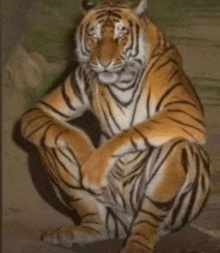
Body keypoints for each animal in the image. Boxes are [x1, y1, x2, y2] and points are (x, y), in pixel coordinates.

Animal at [20, 0, 211, 251]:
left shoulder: (185, 111)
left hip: (167, 195)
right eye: (94, 36)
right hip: (97, 202)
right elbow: (71, 132)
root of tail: (123, 226)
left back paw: (137, 244)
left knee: (153, 209)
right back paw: (81, 233)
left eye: (122, 36)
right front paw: (88, 160)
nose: (104, 63)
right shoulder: (43, 109)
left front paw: (94, 164)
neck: (122, 81)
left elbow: (132, 132)